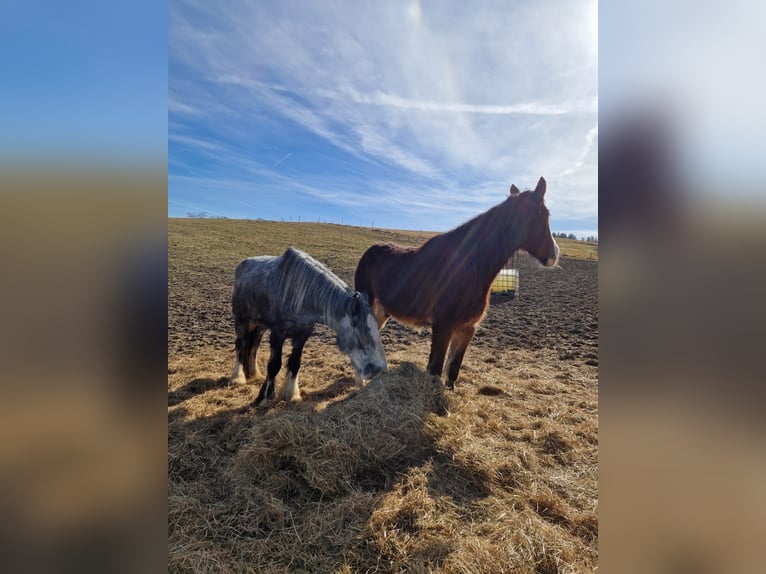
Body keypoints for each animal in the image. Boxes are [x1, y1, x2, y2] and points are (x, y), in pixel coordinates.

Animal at [230, 246, 387, 406]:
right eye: (358, 327)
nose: (378, 369)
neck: (300, 297)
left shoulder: (302, 335)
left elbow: (295, 363)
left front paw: (291, 395)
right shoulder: (277, 334)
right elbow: (274, 365)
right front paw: (264, 397)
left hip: (260, 324)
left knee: (254, 343)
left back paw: (253, 373)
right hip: (242, 319)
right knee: (241, 344)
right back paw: (238, 378)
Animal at [354, 176, 559, 390]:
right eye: (543, 213)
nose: (554, 255)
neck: (469, 268)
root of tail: (369, 252)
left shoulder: (467, 328)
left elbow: (452, 369)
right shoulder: (443, 327)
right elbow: (435, 369)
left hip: (381, 312)